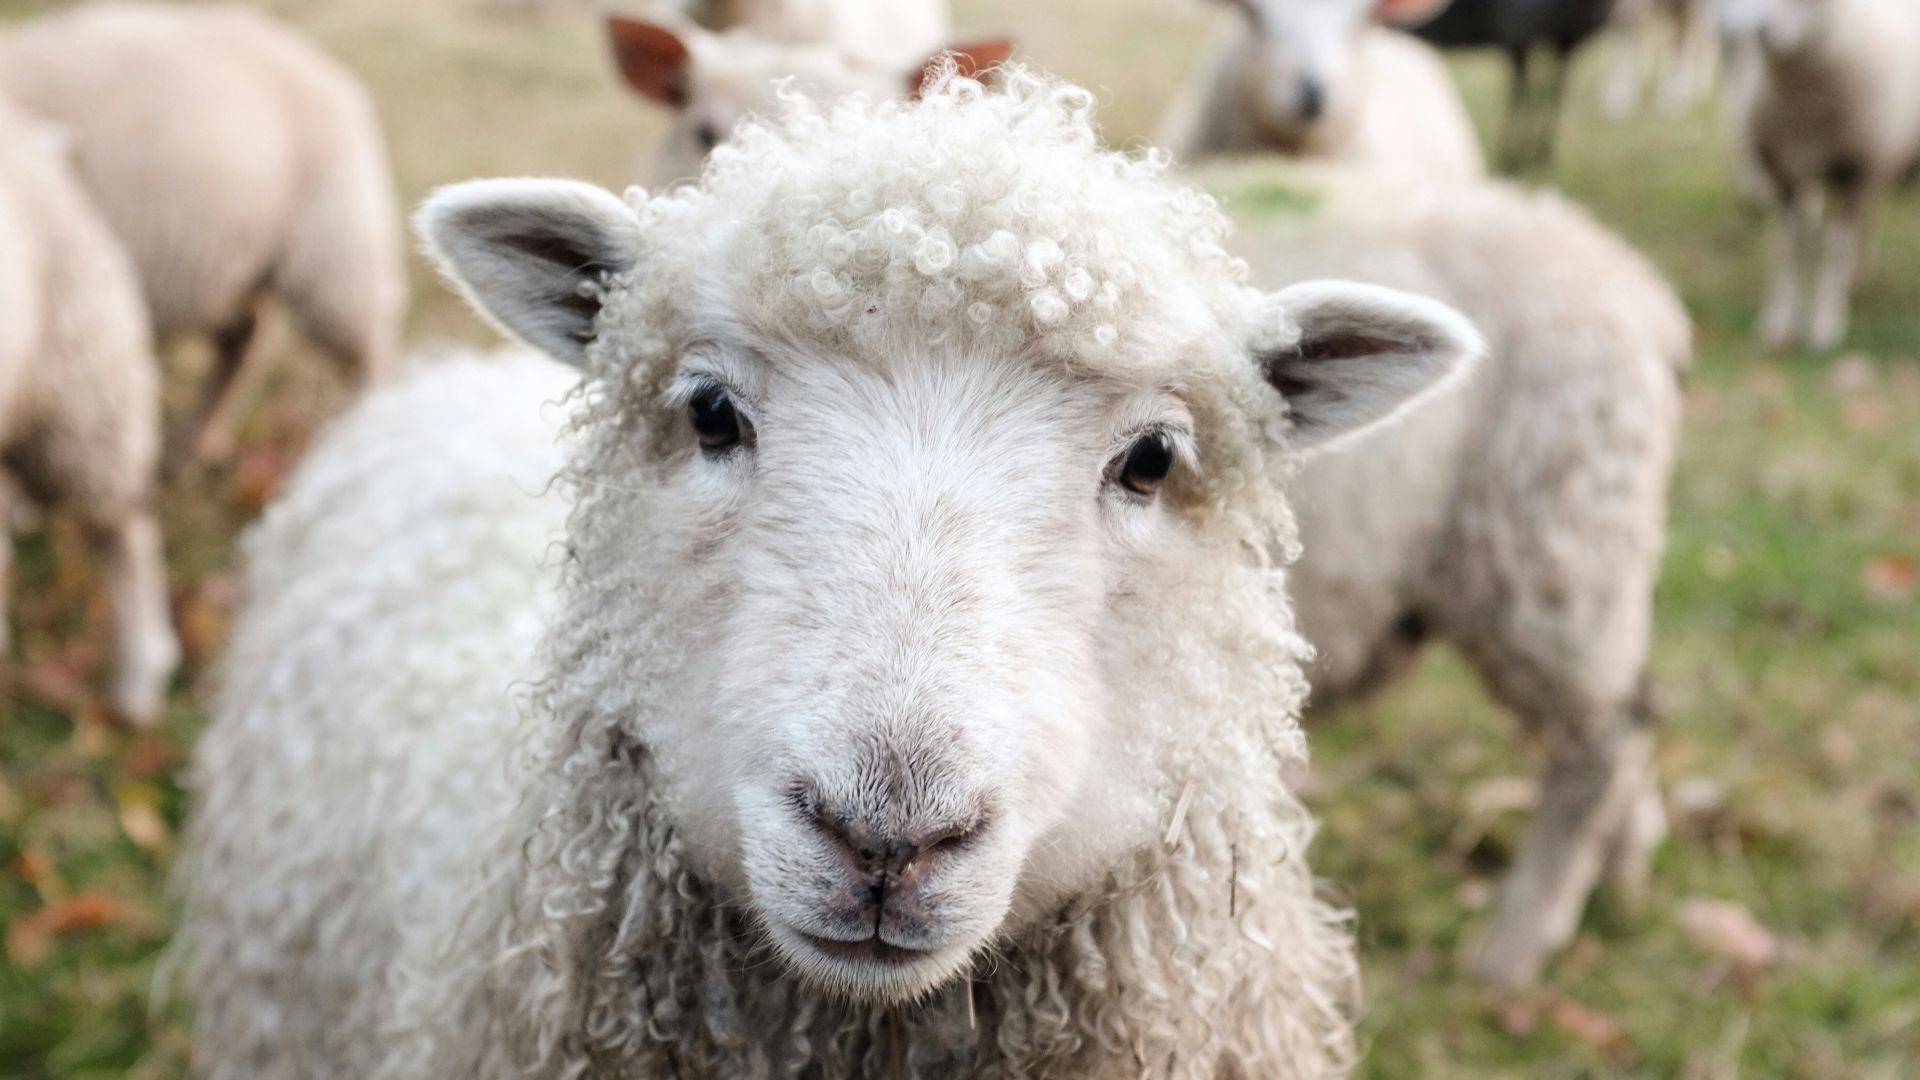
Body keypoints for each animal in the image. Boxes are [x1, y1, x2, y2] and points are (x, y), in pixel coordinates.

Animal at [0, 1, 406, 463]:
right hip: (229, 265)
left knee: (368, 347)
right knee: (243, 342)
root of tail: (316, 61)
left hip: (335, 243)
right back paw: (196, 443)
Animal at [1379, 0, 1620, 172]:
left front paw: (1540, 155)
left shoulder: (1567, 43)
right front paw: (1512, 155)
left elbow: (1552, 94)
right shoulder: (1517, 33)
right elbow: (1522, 96)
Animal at [1717, 0, 1920, 350]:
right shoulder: (1785, 175)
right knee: (1869, 220)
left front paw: (1826, 325)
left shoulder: (1855, 173)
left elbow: (1835, 250)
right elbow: (1786, 248)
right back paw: (1859, 275)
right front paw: (1779, 322)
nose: (1760, 32)